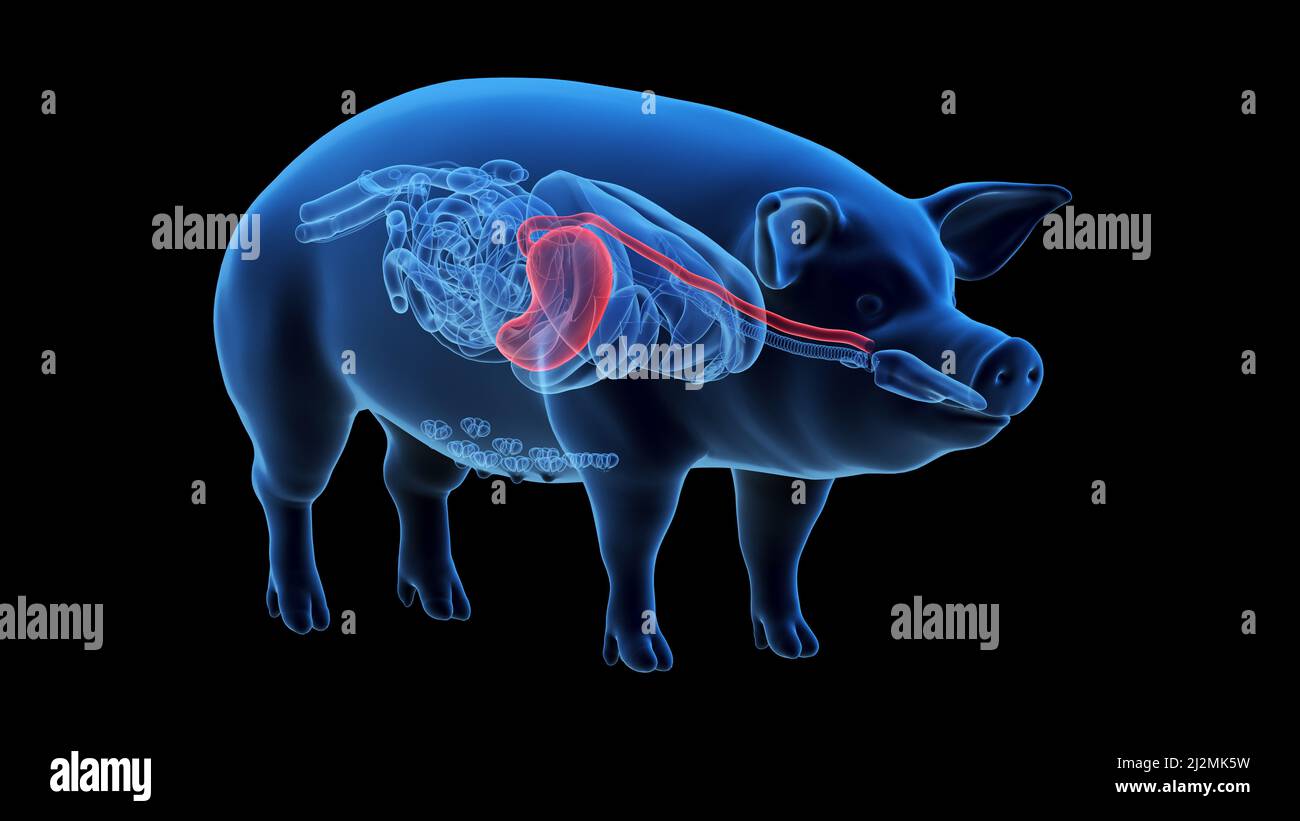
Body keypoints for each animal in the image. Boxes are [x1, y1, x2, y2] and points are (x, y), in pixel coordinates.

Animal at [214, 79, 1068, 672]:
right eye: (870, 299)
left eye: (948, 291)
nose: (1011, 353)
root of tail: (264, 202)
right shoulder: (617, 438)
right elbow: (636, 535)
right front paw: (647, 660)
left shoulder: (789, 467)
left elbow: (774, 541)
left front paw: (797, 646)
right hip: (281, 371)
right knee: (285, 483)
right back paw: (305, 615)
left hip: (422, 408)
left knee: (409, 479)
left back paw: (445, 608)